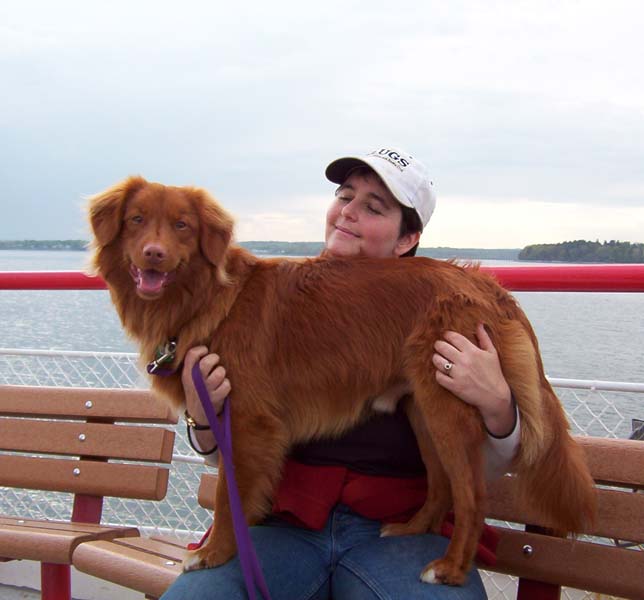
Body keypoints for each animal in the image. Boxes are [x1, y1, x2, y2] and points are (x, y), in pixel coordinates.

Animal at [88, 175, 596, 584]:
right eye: (136, 220)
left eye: (182, 226)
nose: (153, 254)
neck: (206, 301)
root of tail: (484, 283)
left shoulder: (250, 422)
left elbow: (227, 499)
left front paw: (215, 554)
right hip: (422, 408)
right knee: (439, 484)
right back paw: (410, 528)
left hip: (446, 403)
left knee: (471, 493)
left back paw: (450, 569)